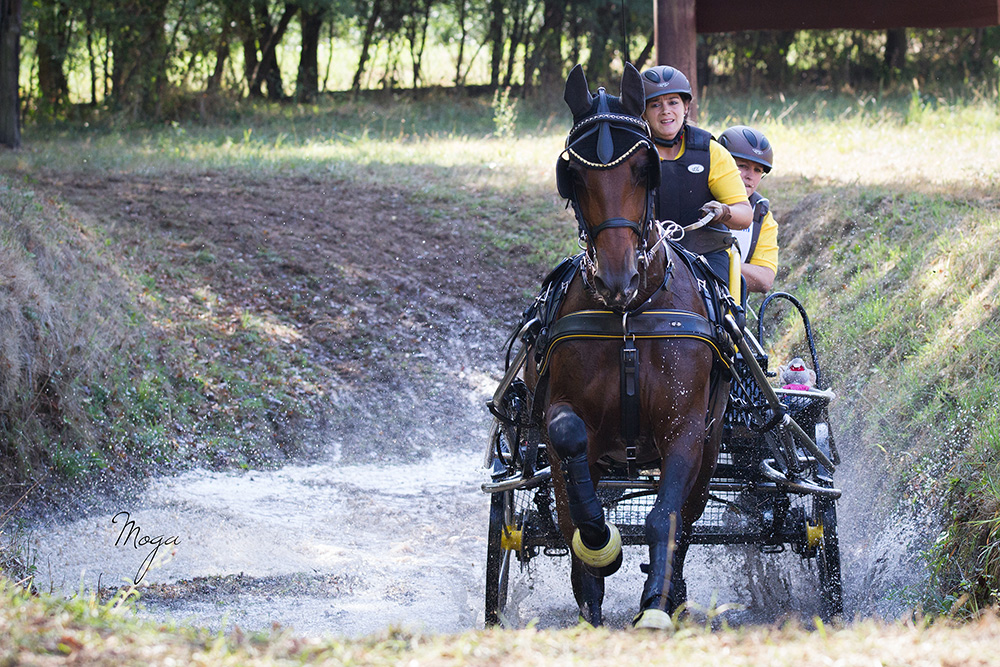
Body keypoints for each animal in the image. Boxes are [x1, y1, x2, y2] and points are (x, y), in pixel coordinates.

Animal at [528, 64, 732, 632]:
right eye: (574, 176)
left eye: (644, 170)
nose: (617, 278)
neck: (628, 319)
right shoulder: (560, 415)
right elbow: (573, 482)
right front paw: (599, 552)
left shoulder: (684, 427)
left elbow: (665, 516)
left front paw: (655, 605)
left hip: (710, 448)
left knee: (688, 516)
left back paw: (673, 591)